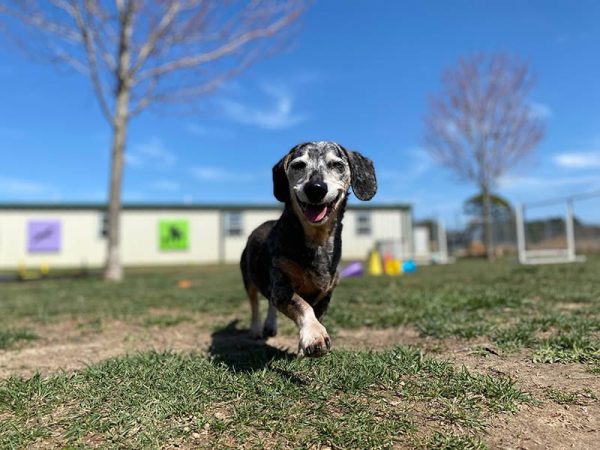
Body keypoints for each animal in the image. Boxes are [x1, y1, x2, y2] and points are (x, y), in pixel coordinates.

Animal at [239, 142, 376, 356]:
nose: (315, 188)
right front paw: (314, 335)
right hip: (249, 277)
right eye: (298, 165)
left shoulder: (325, 293)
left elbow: (316, 314)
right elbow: (302, 305)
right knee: (254, 305)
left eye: (337, 164)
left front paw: (305, 345)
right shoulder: (282, 286)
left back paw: (270, 325)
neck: (317, 240)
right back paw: (255, 329)